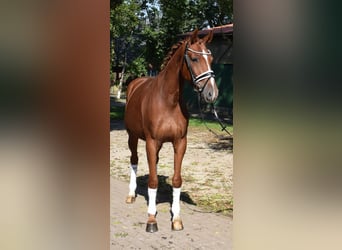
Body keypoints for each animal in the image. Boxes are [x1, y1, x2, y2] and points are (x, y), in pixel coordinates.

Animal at [124, 30, 218, 233]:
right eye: (194, 58)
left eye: (211, 58)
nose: (212, 93)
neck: (168, 101)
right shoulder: (151, 141)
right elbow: (152, 181)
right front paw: (151, 219)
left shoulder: (180, 142)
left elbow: (176, 180)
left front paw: (176, 219)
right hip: (132, 137)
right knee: (134, 160)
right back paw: (131, 194)